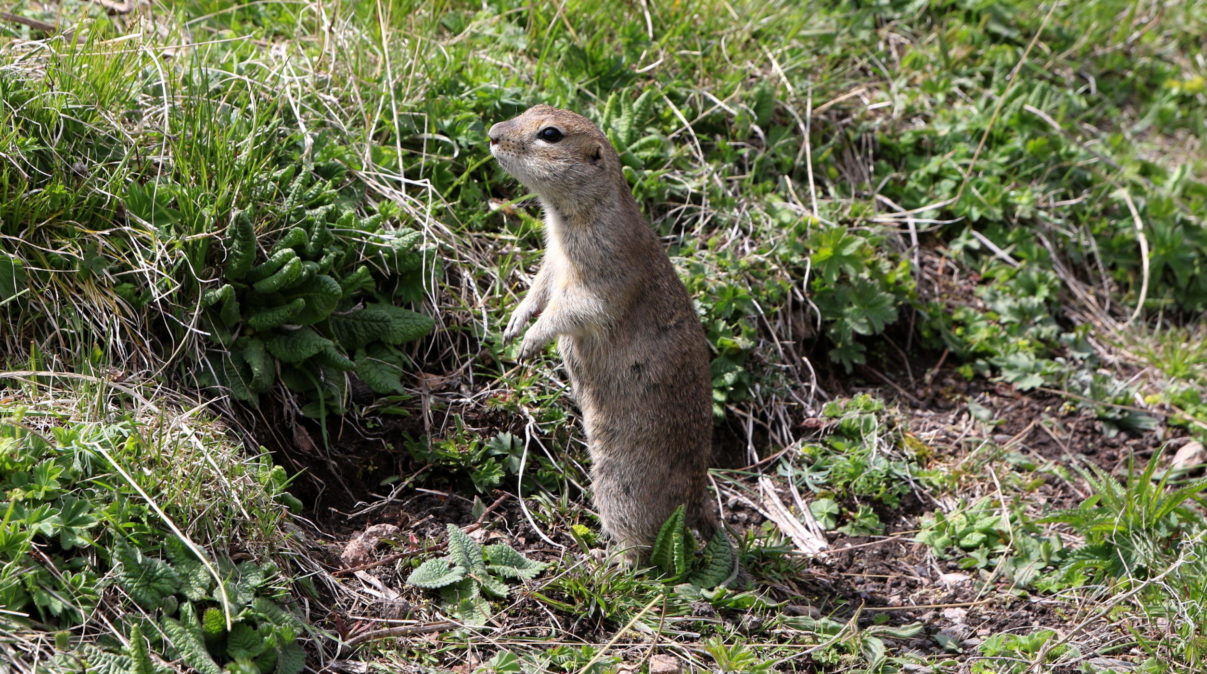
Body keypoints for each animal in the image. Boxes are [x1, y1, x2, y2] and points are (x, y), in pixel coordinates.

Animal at [490, 104, 714, 560]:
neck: (569, 219)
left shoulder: (601, 277)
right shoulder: (552, 260)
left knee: (646, 549)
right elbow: (539, 287)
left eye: (550, 134)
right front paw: (513, 324)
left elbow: (573, 309)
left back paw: (604, 561)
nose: (492, 134)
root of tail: (697, 501)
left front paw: (528, 342)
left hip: (620, 488)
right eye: (531, 109)